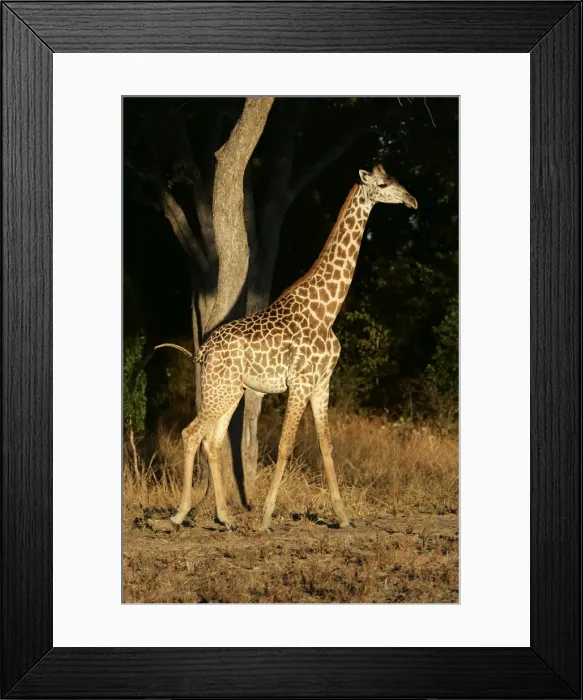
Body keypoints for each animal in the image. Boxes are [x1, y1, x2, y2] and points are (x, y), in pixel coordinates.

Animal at [170, 163, 418, 531]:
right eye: (384, 184)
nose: (412, 200)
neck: (327, 310)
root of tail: (204, 350)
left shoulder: (322, 383)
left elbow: (327, 445)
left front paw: (343, 518)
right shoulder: (300, 383)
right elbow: (285, 445)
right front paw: (266, 518)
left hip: (231, 390)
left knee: (212, 440)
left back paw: (225, 517)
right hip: (221, 388)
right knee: (191, 433)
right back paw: (180, 513)